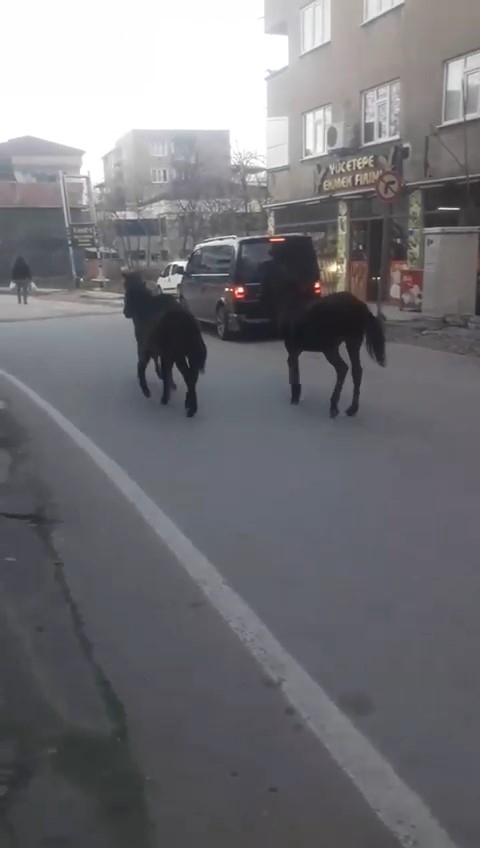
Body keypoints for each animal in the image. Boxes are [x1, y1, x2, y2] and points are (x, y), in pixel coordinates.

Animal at [122, 272, 206, 418]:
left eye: (126, 293)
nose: (125, 312)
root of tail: (189, 324)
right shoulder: (162, 353)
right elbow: (165, 371)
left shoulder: (145, 346)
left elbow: (142, 366)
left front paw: (147, 390)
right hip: (190, 354)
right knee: (192, 377)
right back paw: (190, 406)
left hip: (178, 353)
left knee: (188, 376)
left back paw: (174, 402)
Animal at [274, 284, 386, 420]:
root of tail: (360, 306)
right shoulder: (297, 349)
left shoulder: (291, 347)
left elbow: (293, 370)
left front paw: (295, 398)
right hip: (353, 341)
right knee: (356, 371)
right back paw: (352, 409)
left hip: (330, 347)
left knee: (342, 368)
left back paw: (334, 407)